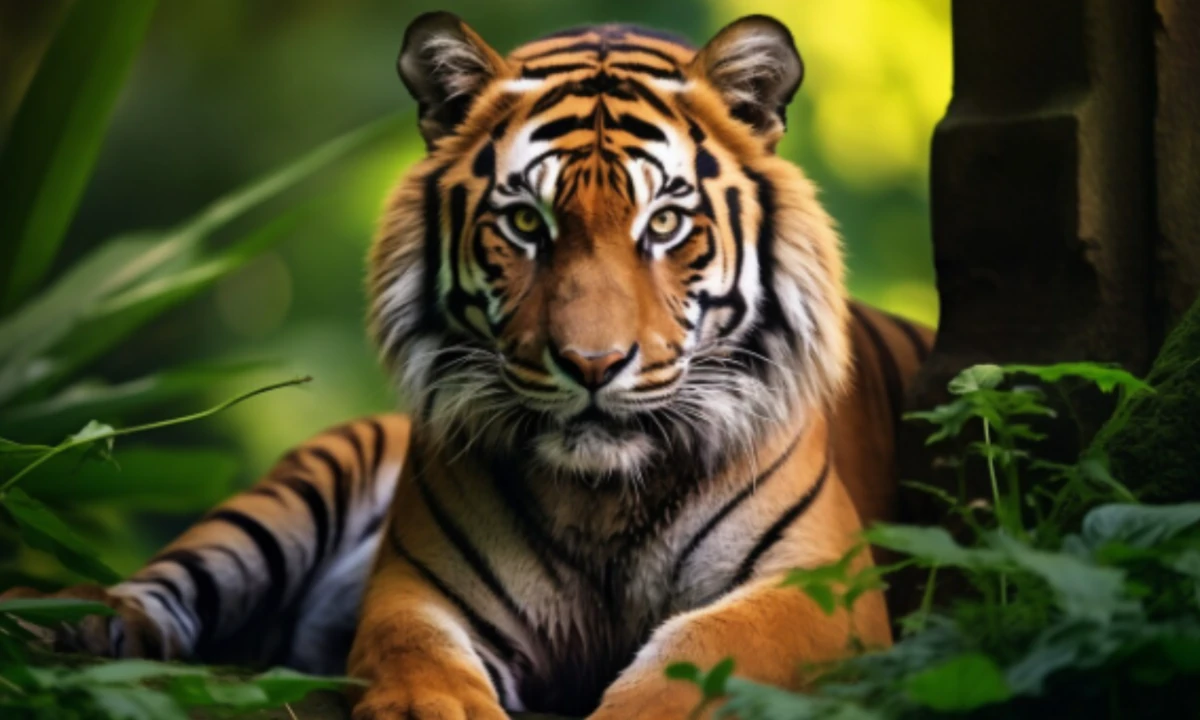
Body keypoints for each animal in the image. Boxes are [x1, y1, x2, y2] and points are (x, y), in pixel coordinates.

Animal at [2, 12, 936, 720]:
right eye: (526, 223)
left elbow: (696, 660)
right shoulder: (420, 592)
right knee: (153, 592)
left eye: (665, 224)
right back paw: (60, 626)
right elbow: (420, 666)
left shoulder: (819, 589)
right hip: (298, 490)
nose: (592, 364)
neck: (603, 500)